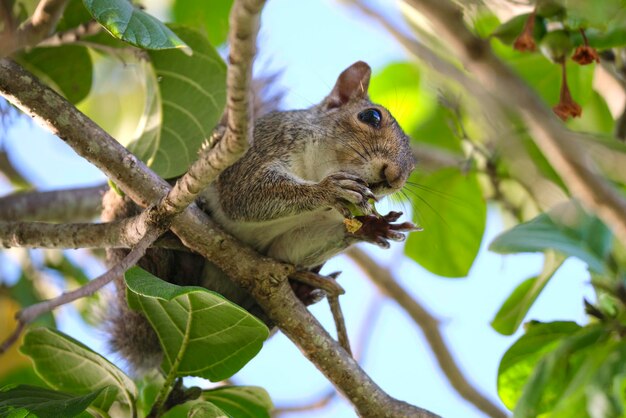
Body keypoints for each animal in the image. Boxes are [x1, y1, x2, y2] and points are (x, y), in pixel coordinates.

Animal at [102, 60, 414, 370]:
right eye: (371, 116)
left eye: (413, 166)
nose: (394, 177)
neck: (315, 170)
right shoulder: (260, 148)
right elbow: (244, 194)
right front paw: (328, 190)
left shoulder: (300, 236)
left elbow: (288, 248)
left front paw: (373, 227)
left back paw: (301, 293)